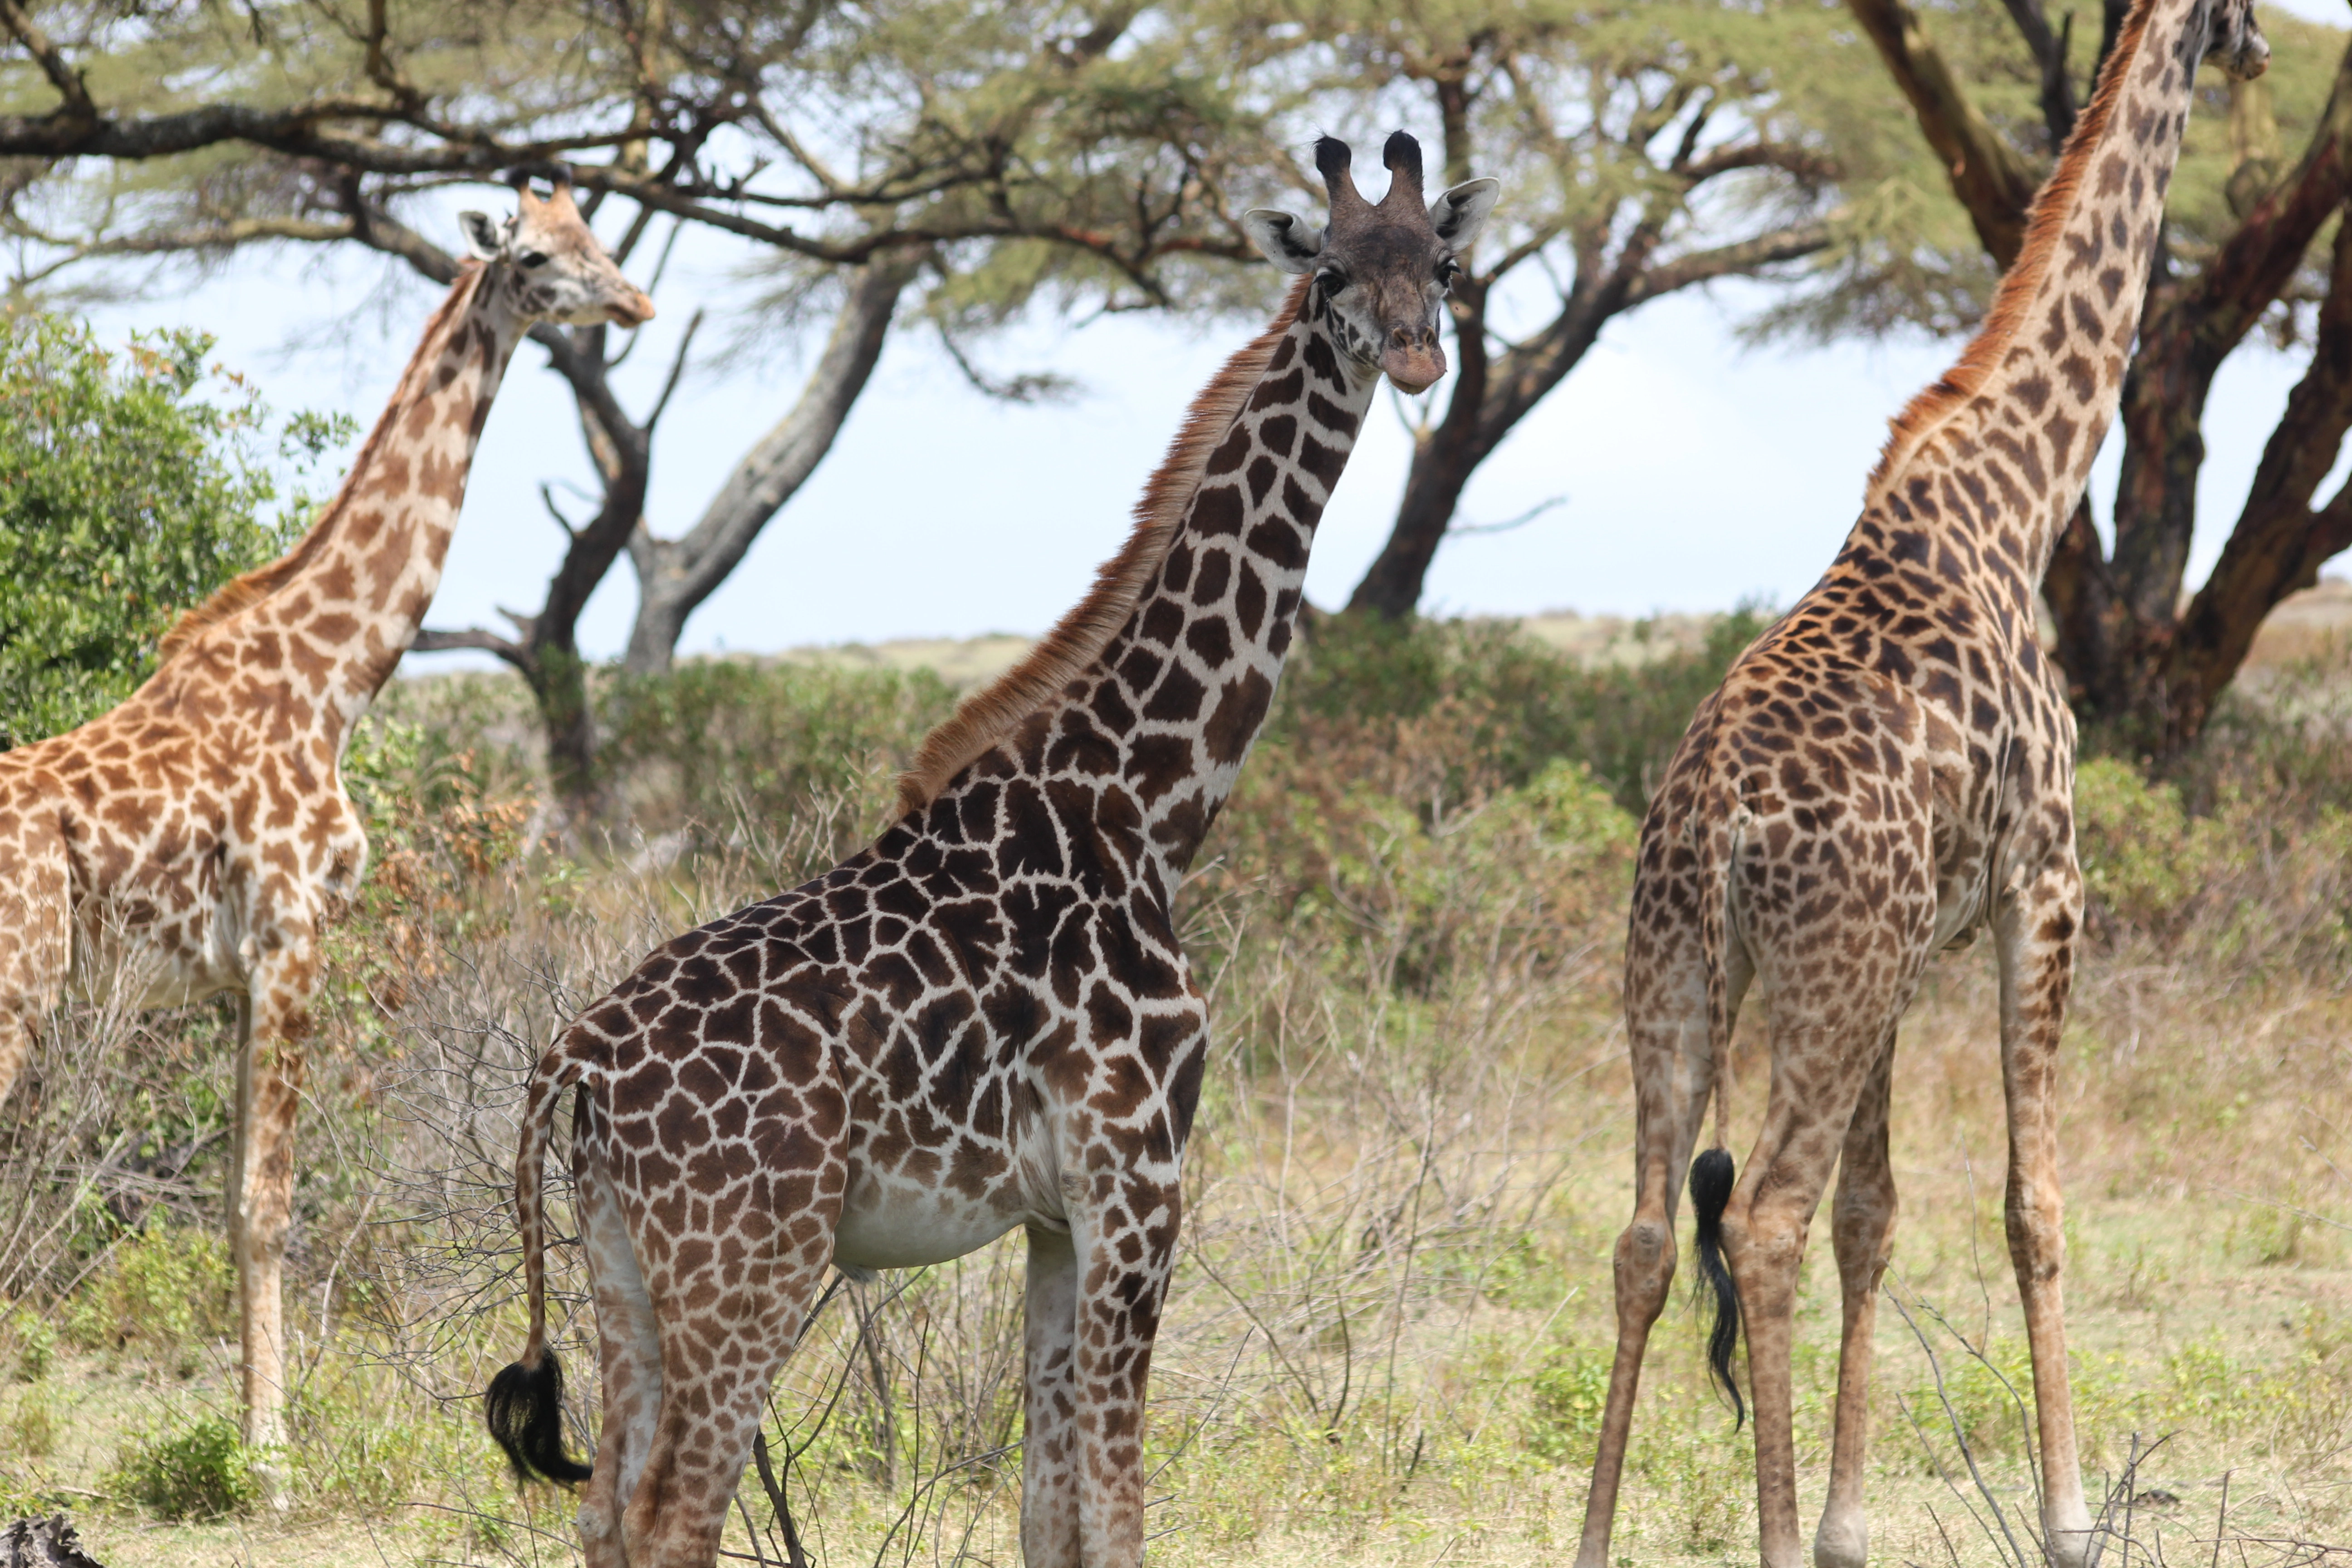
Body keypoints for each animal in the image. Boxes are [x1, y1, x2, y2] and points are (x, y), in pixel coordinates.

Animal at [0, 165, 652, 1486]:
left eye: (599, 237)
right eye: (540, 258)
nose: (638, 304)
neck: (336, 678)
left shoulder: (242, 967)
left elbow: (240, 1199)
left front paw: (255, 1435)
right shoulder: (294, 933)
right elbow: (269, 1203)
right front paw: (271, 1460)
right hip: (20, 977)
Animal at [481, 133, 1499, 1568]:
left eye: (1445, 268)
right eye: (1334, 272)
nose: (1413, 359)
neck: (1143, 803)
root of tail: (569, 1061)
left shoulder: (1056, 1217)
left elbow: (1045, 1512)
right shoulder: (1139, 1178)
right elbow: (1117, 1513)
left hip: (620, 1261)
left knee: (608, 1515)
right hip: (749, 1258)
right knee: (678, 1509)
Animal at [1571, 4, 2267, 1568]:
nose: (2263, 60)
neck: (2023, 494)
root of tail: (1717, 824)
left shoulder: (1902, 960)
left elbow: (1875, 1219)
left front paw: (1845, 1529)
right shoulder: (2045, 886)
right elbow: (2031, 1204)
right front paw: (2067, 1519)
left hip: (1682, 969)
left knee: (1648, 1232)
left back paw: (1591, 1541)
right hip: (1819, 973)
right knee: (1759, 1221)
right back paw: (1763, 1540)